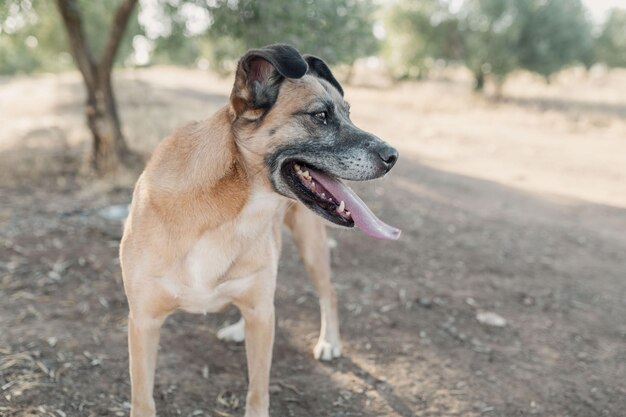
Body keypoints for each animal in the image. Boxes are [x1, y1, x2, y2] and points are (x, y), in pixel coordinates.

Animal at [119, 45, 398, 416]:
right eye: (321, 115)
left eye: (349, 114)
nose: (394, 156)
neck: (227, 211)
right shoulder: (143, 322)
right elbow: (142, 398)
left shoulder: (263, 318)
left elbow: (257, 392)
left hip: (310, 249)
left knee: (328, 293)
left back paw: (328, 342)